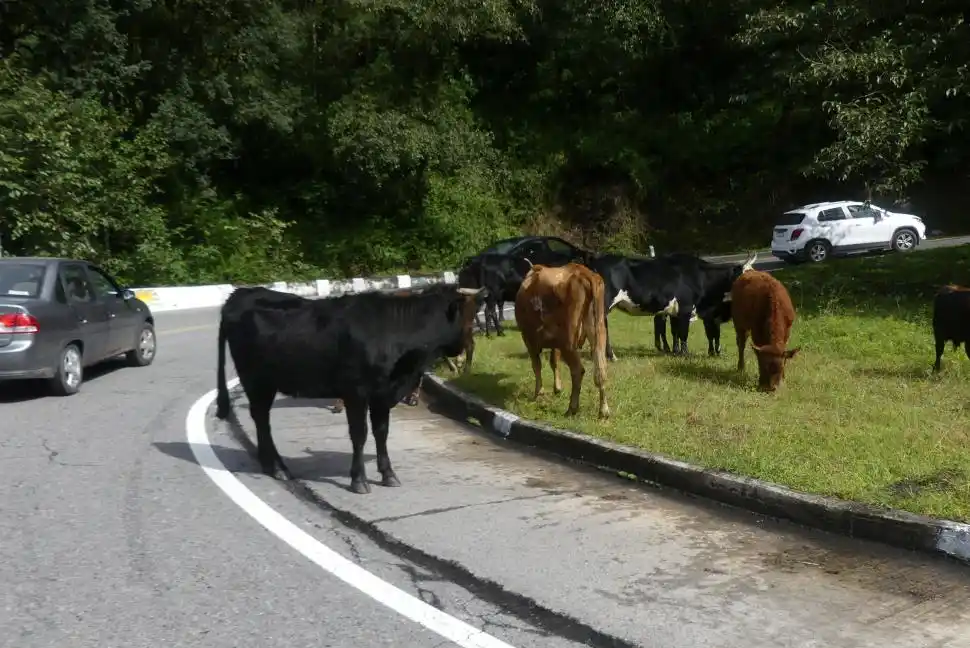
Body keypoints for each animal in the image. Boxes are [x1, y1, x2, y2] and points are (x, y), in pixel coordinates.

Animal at [214, 283, 488, 493]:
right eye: (469, 314)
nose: (468, 346)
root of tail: (240, 293)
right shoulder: (356, 392)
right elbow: (360, 434)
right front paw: (359, 480)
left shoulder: (382, 394)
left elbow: (381, 432)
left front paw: (388, 474)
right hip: (255, 380)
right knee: (262, 418)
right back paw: (279, 468)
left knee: (261, 418)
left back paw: (269, 465)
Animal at [514, 262, 610, 419]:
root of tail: (582, 271)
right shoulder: (555, 342)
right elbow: (554, 361)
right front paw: (557, 388)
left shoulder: (528, 338)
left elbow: (537, 365)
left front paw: (539, 393)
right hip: (598, 331)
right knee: (601, 370)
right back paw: (604, 411)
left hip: (568, 341)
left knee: (578, 370)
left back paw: (572, 408)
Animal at [587, 251, 756, 360]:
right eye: (746, 276)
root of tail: (596, 259)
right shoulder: (686, 307)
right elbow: (684, 333)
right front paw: (685, 355)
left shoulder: (676, 311)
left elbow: (676, 332)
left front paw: (675, 352)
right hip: (604, 304)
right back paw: (609, 356)